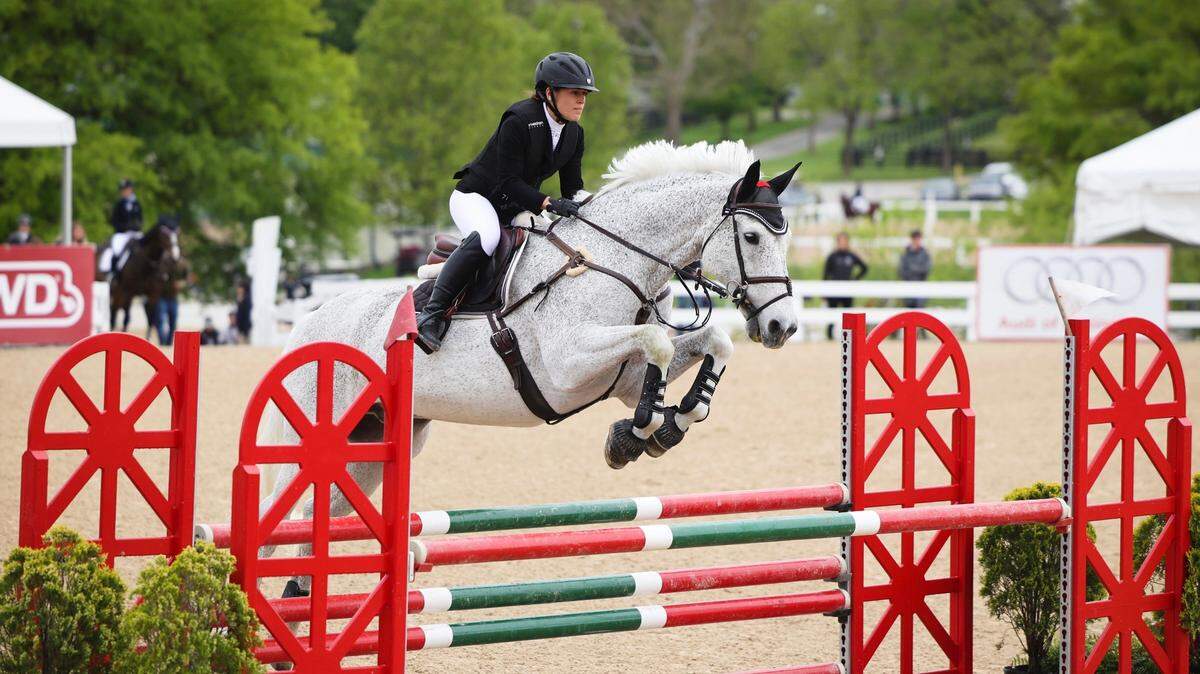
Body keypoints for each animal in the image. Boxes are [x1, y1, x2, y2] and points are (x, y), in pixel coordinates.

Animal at [258, 140, 802, 597]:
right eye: (752, 236)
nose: (783, 326)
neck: (613, 258)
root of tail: (309, 324)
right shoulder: (567, 364)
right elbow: (658, 346)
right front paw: (637, 435)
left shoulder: (623, 378)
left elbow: (710, 344)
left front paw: (671, 423)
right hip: (321, 441)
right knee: (277, 521)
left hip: (375, 446)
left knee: (318, 514)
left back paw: (300, 600)